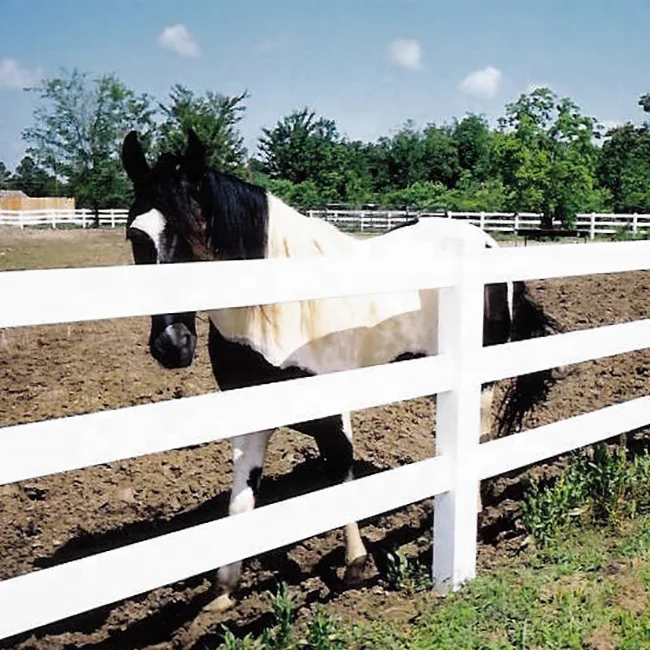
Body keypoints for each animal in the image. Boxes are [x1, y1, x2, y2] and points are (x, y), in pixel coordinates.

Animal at [120, 128, 560, 611]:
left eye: (197, 235)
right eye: (135, 236)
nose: (172, 345)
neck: (278, 309)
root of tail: (486, 242)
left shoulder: (331, 408)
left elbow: (340, 474)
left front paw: (356, 564)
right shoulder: (252, 412)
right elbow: (242, 499)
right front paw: (223, 590)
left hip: (483, 377)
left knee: (476, 433)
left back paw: (473, 509)